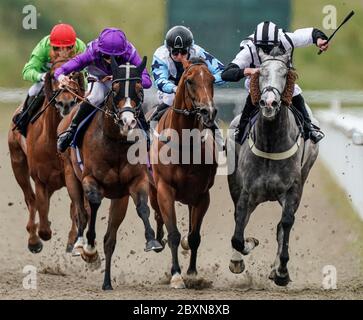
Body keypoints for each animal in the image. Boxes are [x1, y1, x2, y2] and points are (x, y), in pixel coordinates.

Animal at [8, 56, 86, 254]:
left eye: (75, 79)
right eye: (53, 77)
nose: (66, 103)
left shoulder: (73, 175)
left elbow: (75, 209)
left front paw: (72, 240)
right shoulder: (40, 180)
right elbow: (41, 209)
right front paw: (41, 235)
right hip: (18, 163)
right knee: (31, 199)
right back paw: (33, 240)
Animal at [58, 57, 162, 290]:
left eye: (139, 89)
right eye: (114, 90)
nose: (128, 121)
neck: (115, 143)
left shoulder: (135, 181)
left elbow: (142, 207)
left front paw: (152, 240)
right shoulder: (90, 180)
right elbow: (93, 206)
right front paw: (89, 248)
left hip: (119, 199)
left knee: (109, 238)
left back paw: (106, 282)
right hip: (71, 177)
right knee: (81, 212)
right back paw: (80, 244)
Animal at [150, 57, 219, 288]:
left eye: (212, 79)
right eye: (189, 81)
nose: (208, 112)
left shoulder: (202, 195)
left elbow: (195, 236)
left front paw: (192, 273)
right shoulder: (164, 189)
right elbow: (173, 233)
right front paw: (177, 275)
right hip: (153, 189)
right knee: (157, 214)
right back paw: (156, 240)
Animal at [229, 48, 320, 286]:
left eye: (284, 73)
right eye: (260, 73)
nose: (269, 103)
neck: (270, 143)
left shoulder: (293, 189)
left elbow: (286, 223)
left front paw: (281, 271)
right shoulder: (247, 190)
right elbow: (238, 231)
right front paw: (245, 250)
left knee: (282, 225)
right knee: (242, 220)